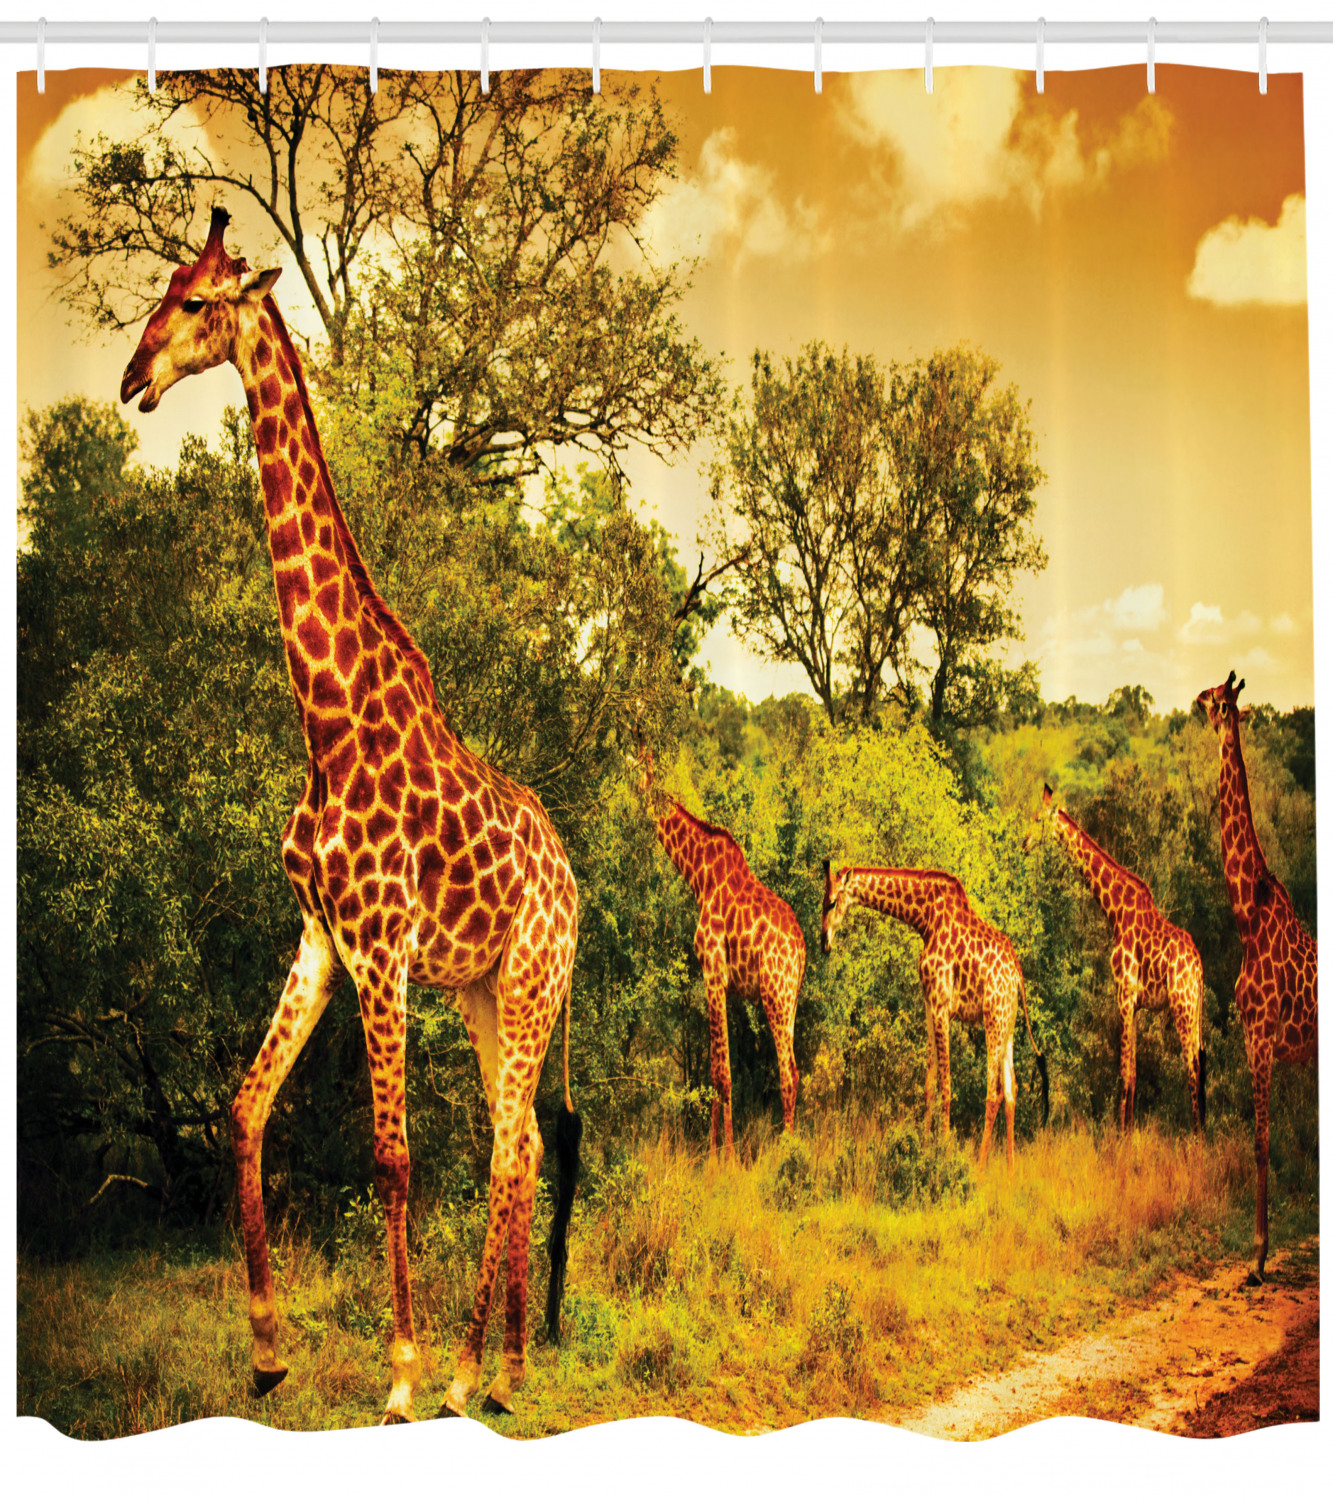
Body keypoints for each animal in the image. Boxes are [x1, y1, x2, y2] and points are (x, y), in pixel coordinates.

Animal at [119, 208, 581, 1422]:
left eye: (198, 304)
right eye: (160, 289)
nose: (134, 378)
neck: (326, 724)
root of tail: (575, 882)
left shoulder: (380, 949)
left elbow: (392, 1157)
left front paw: (401, 1378)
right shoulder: (320, 940)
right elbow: (242, 1109)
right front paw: (267, 1349)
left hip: (529, 981)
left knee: (506, 1146)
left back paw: (464, 1373)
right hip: (482, 989)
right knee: (519, 1139)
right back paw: (507, 1367)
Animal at [638, 746, 805, 1152]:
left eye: (639, 769)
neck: (698, 874)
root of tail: (801, 949)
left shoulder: (712, 970)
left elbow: (723, 1073)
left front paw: (725, 1155)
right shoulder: (723, 983)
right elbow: (716, 1069)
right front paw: (711, 1150)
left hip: (775, 995)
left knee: (788, 1072)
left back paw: (787, 1149)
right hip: (791, 999)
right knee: (794, 1070)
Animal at [821, 862, 1048, 1166]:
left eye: (832, 902)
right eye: (823, 900)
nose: (823, 943)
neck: (925, 918)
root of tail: (1018, 976)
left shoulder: (942, 1004)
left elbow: (946, 1085)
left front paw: (944, 1148)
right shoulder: (929, 1003)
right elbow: (929, 1083)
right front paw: (926, 1144)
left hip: (993, 1019)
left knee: (994, 1092)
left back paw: (980, 1165)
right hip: (1008, 1025)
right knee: (1011, 1090)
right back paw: (1011, 1168)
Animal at [1024, 784, 1206, 1133]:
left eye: (1038, 818)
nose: (1024, 843)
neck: (1115, 912)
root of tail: (1198, 969)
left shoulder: (1123, 994)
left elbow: (1123, 1072)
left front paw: (1117, 1136)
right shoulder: (1135, 1003)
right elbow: (1133, 1072)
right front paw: (1129, 1131)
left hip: (1182, 1005)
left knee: (1191, 1065)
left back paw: (1197, 1135)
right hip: (1195, 1008)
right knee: (1202, 1062)